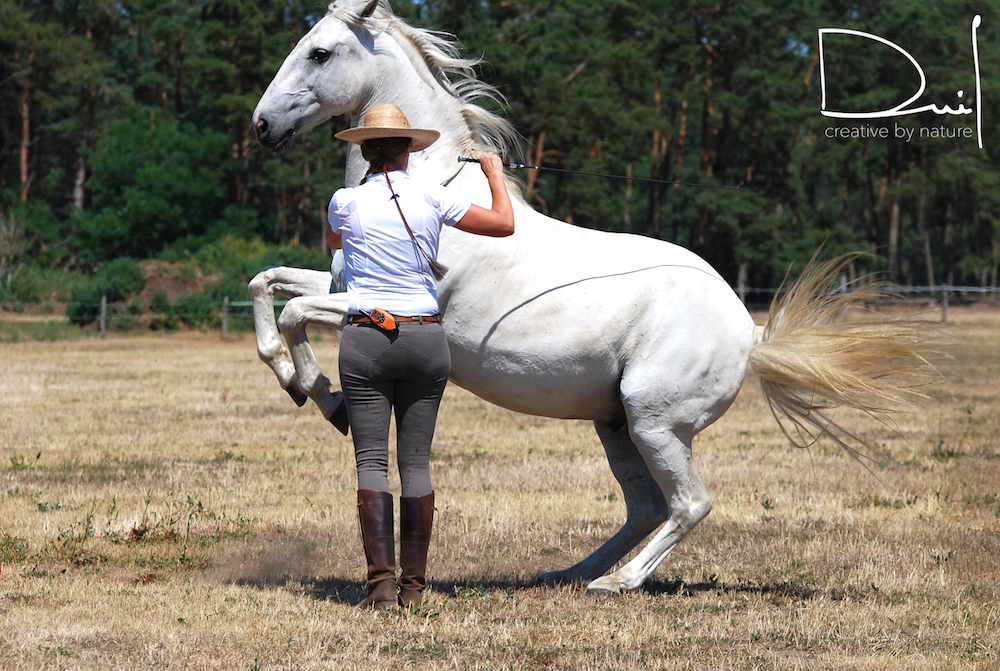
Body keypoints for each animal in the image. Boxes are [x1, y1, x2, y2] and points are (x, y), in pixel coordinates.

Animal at [246, 0, 932, 592]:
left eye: (319, 52)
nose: (261, 125)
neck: (422, 187)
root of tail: (749, 330)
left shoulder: (390, 304)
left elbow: (295, 310)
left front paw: (322, 395)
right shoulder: (347, 289)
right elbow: (269, 286)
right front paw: (302, 383)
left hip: (656, 423)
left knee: (689, 503)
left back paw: (616, 582)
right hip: (616, 425)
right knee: (645, 507)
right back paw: (569, 573)